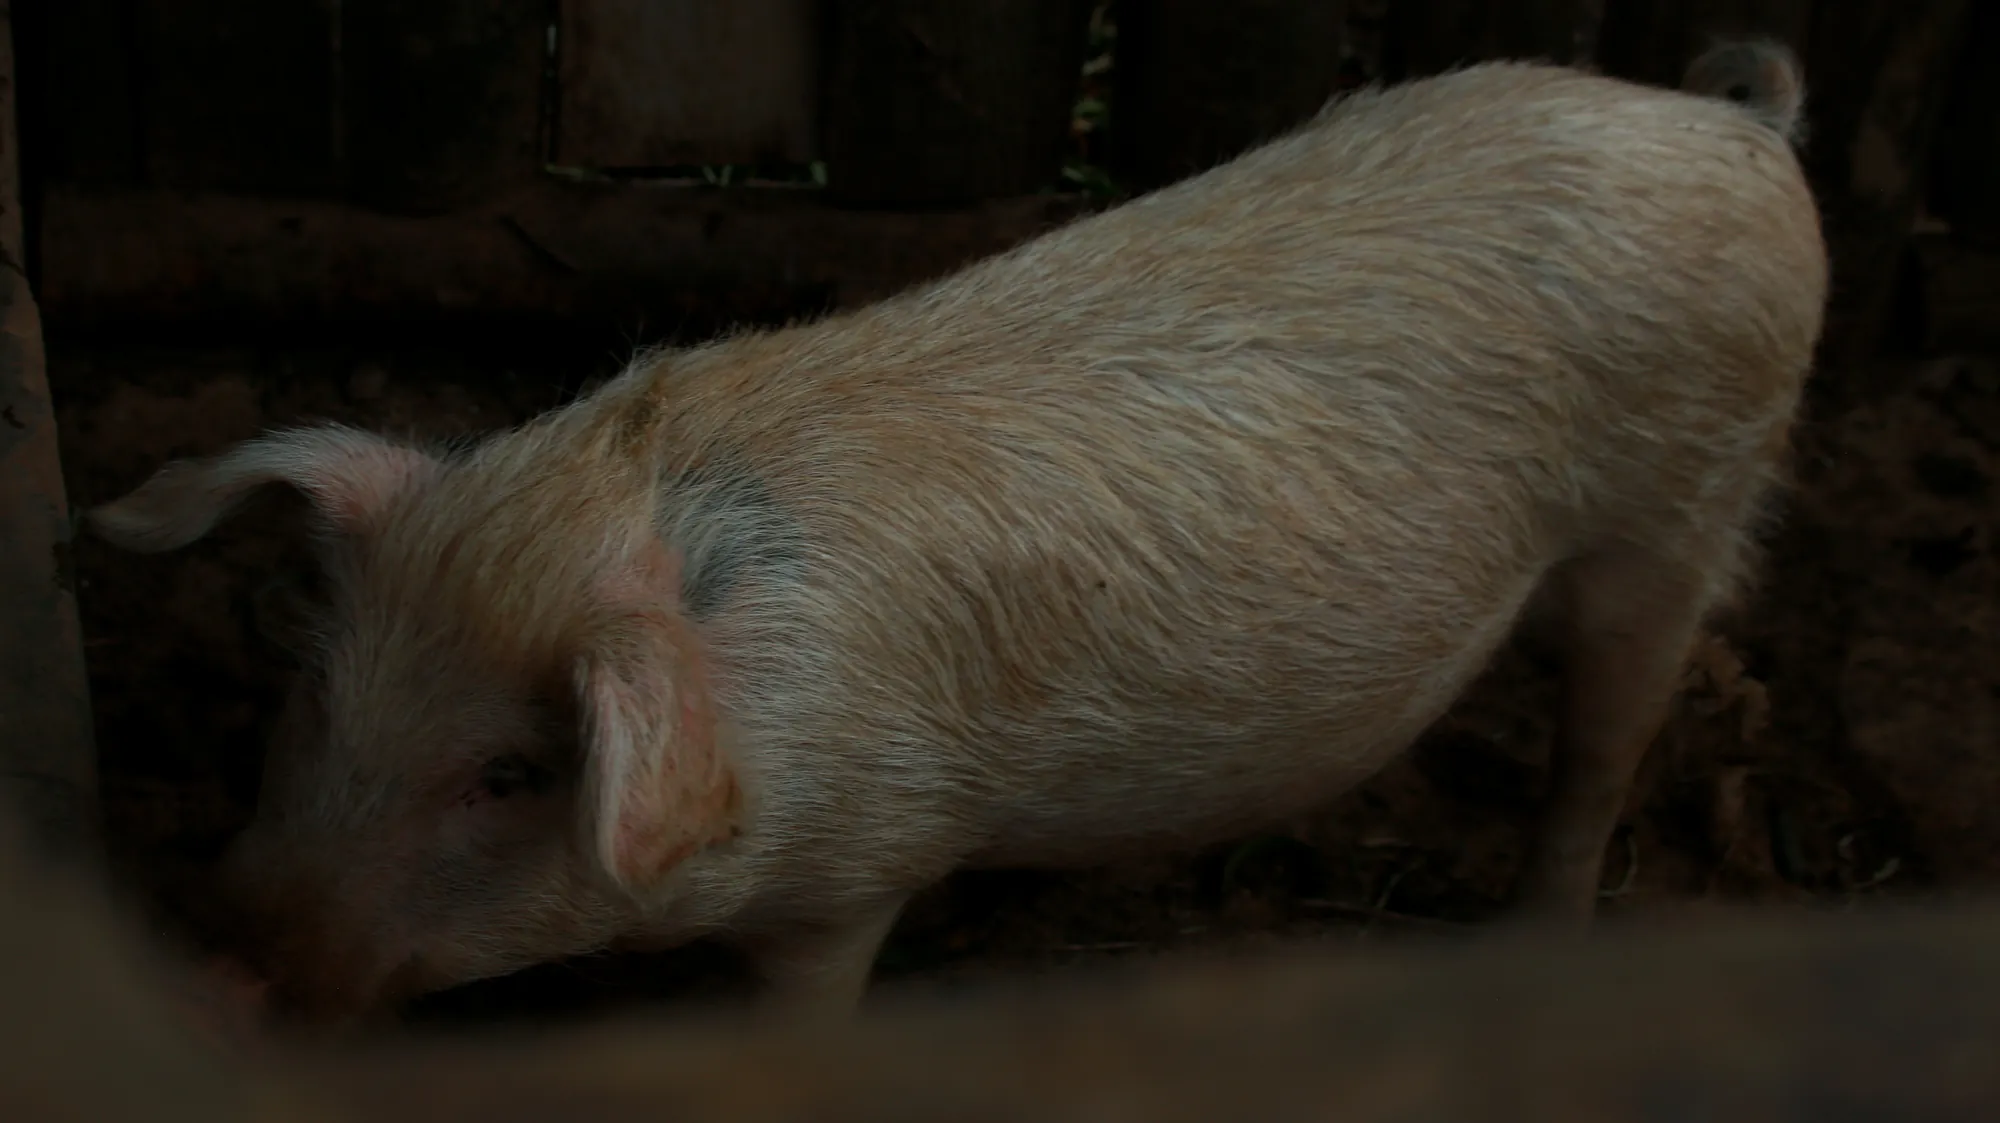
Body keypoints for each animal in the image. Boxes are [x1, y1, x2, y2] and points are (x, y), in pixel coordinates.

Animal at [87, 40, 1827, 1026]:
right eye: (318, 693)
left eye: (508, 774)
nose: (214, 964)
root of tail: (1730, 122)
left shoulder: (856, 866)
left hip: (1692, 493)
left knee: (1608, 739)